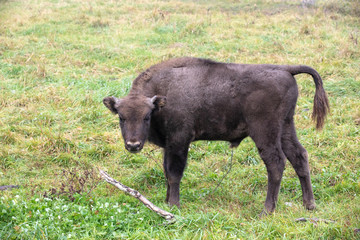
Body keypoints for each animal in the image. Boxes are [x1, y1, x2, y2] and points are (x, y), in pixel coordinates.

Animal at [103, 57, 330, 214]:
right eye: (121, 117)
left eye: (147, 116)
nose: (133, 144)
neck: (162, 95)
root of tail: (286, 69)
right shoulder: (169, 145)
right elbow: (167, 172)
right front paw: (166, 202)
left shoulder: (179, 141)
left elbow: (174, 173)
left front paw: (174, 205)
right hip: (286, 126)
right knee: (299, 156)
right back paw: (309, 205)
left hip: (265, 132)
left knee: (276, 163)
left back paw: (266, 210)